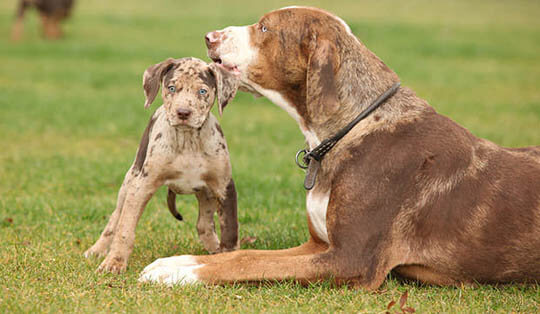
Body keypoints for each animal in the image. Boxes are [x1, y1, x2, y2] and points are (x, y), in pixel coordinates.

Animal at [85, 57, 240, 274]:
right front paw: (114, 262)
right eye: (171, 88)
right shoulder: (141, 186)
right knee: (114, 220)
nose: (183, 113)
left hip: (207, 193)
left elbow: (230, 232)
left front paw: (229, 260)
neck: (188, 142)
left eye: (202, 91)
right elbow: (124, 229)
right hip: (130, 180)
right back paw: (97, 250)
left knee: (204, 225)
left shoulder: (224, 186)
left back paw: (213, 249)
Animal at [140, 6, 540, 288]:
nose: (209, 36)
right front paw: (178, 262)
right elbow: (246, 254)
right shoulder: (318, 246)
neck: (350, 129)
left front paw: (177, 272)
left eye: (265, 28)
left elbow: (248, 262)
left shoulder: (350, 259)